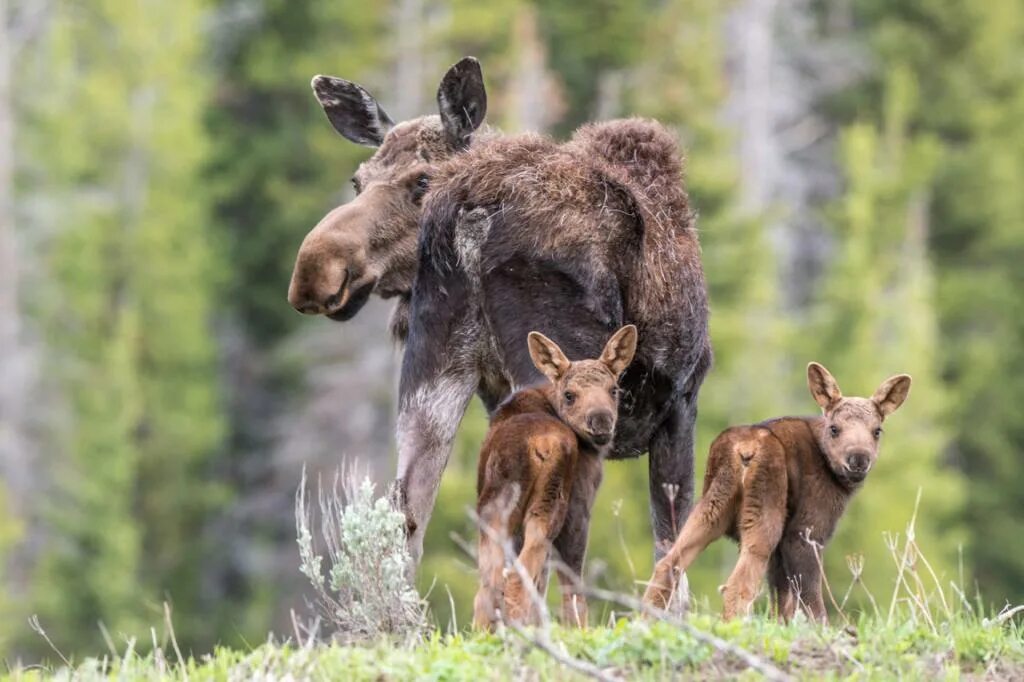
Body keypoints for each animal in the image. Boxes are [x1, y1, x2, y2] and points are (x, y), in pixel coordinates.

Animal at [284, 58, 708, 577]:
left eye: (422, 180)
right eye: (357, 182)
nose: (315, 270)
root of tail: (470, 210)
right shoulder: (682, 401)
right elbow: (672, 549)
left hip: (436, 365)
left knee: (409, 514)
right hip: (559, 365)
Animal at [473, 323, 634, 626]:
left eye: (614, 389)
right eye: (570, 394)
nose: (601, 421)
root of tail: (541, 444)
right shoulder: (580, 505)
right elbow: (572, 590)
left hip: (495, 508)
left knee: (489, 586)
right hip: (551, 505)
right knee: (517, 580)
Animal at [638, 360, 913, 622]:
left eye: (877, 430)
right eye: (834, 428)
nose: (858, 459)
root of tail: (744, 449)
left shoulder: (781, 548)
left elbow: (781, 602)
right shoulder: (805, 531)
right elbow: (810, 602)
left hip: (711, 507)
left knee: (667, 564)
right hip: (764, 511)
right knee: (736, 586)